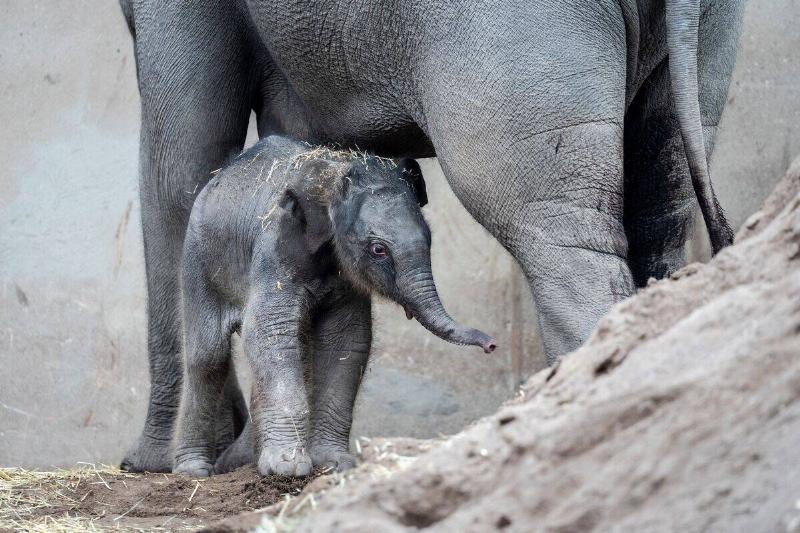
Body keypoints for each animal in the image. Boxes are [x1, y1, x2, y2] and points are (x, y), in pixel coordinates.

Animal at [173, 135, 495, 477]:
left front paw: (333, 464)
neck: (338, 167)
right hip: (198, 259)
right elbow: (269, 333)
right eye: (378, 249)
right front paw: (288, 468)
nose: (491, 345)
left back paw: (239, 461)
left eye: (430, 239)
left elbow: (347, 340)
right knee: (208, 357)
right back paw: (195, 470)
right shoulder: (276, 249)